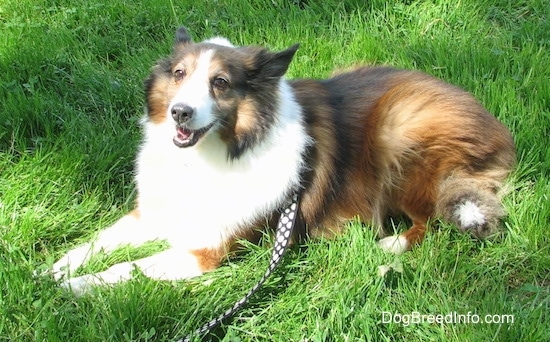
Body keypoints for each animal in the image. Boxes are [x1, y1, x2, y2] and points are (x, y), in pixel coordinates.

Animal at [52, 26, 516, 294]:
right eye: (179, 74)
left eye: (221, 83)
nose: (179, 113)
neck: (213, 155)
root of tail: (495, 127)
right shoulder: (154, 213)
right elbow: (100, 240)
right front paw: (55, 269)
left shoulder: (205, 252)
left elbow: (125, 269)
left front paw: (73, 287)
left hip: (399, 132)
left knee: (431, 219)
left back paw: (389, 245)